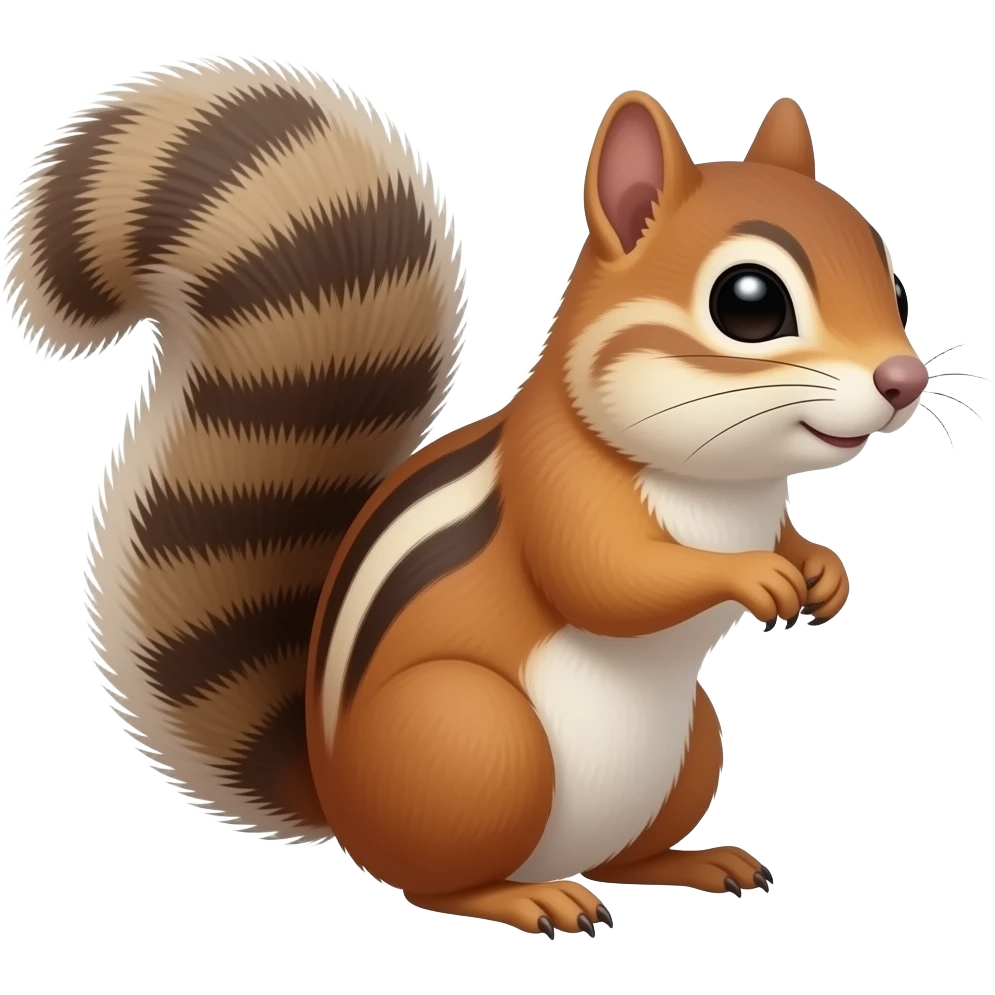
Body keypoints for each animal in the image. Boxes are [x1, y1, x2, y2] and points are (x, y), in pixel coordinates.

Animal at [4, 58, 924, 936]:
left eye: (897, 285)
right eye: (749, 302)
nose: (904, 380)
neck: (721, 484)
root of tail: (337, 798)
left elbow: (784, 536)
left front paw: (823, 570)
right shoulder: (553, 487)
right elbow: (607, 580)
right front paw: (751, 575)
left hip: (690, 744)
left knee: (623, 856)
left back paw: (689, 862)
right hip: (475, 737)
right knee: (435, 882)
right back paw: (530, 898)